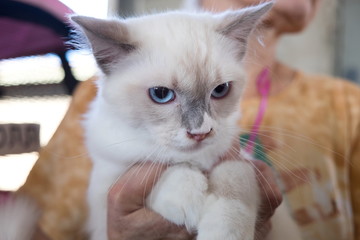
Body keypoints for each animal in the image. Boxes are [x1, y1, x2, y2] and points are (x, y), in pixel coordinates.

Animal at [71, 2, 300, 240]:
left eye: (220, 90)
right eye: (161, 94)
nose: (200, 132)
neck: (194, 160)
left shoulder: (239, 160)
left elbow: (236, 178)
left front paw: (224, 230)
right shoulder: (108, 182)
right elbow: (158, 170)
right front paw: (187, 200)